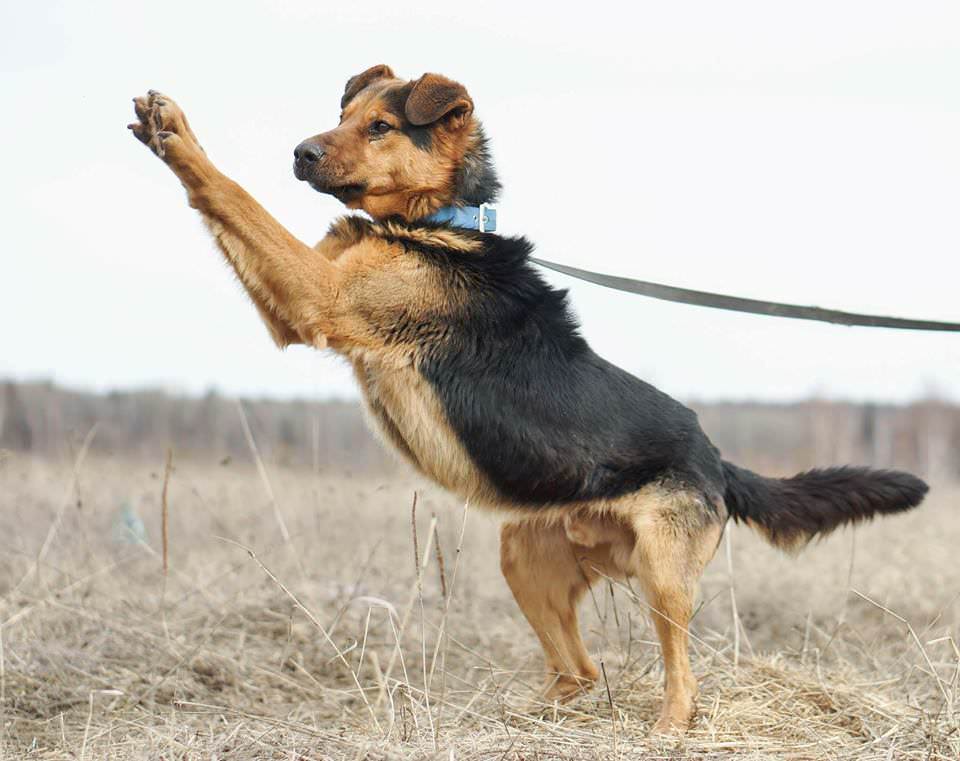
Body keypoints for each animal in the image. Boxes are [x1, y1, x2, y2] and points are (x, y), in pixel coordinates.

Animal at [129, 68, 928, 732]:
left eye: (380, 127)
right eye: (343, 117)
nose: (300, 153)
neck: (433, 222)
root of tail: (719, 461)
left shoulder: (318, 295)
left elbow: (232, 194)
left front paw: (179, 134)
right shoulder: (295, 310)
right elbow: (235, 213)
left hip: (663, 577)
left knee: (681, 673)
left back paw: (668, 729)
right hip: (525, 556)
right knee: (581, 669)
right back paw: (528, 714)